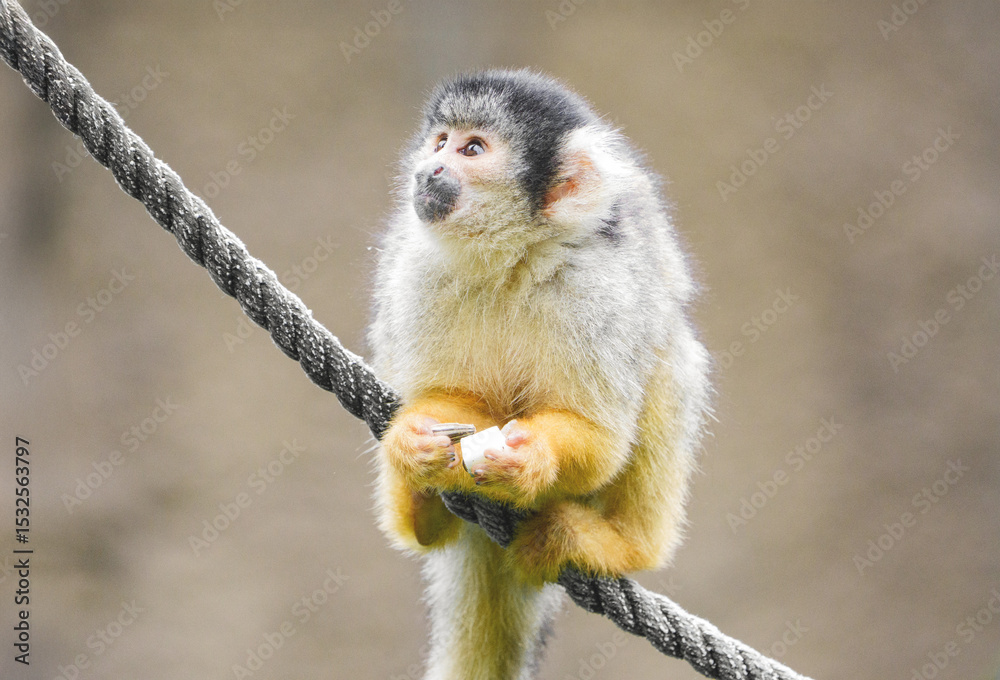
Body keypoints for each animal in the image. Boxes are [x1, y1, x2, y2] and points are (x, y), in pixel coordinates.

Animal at [368, 69, 711, 680]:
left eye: (472, 149)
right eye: (440, 142)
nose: (429, 169)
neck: (514, 258)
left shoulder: (599, 287)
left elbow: (599, 438)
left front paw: (530, 459)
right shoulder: (419, 271)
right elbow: (447, 395)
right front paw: (416, 438)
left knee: (669, 357)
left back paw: (624, 543)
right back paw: (421, 512)